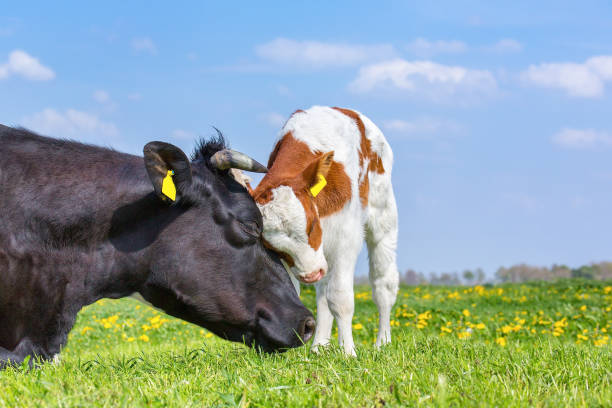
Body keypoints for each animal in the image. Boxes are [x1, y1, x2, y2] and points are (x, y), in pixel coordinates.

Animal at [251, 105, 400, 354]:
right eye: (275, 247)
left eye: (311, 225)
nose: (311, 274)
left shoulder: (345, 239)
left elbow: (340, 298)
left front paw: (348, 352)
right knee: (322, 293)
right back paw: (319, 346)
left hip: (383, 216)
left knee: (383, 285)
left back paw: (383, 342)